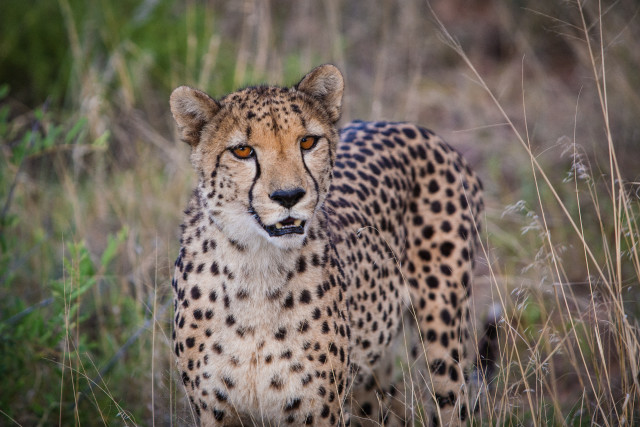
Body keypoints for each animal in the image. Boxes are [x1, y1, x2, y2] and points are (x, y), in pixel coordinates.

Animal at [169, 64, 484, 426]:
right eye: (243, 151)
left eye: (307, 141)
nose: (288, 195)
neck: (256, 266)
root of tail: (412, 127)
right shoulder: (214, 412)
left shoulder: (321, 412)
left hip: (444, 342)